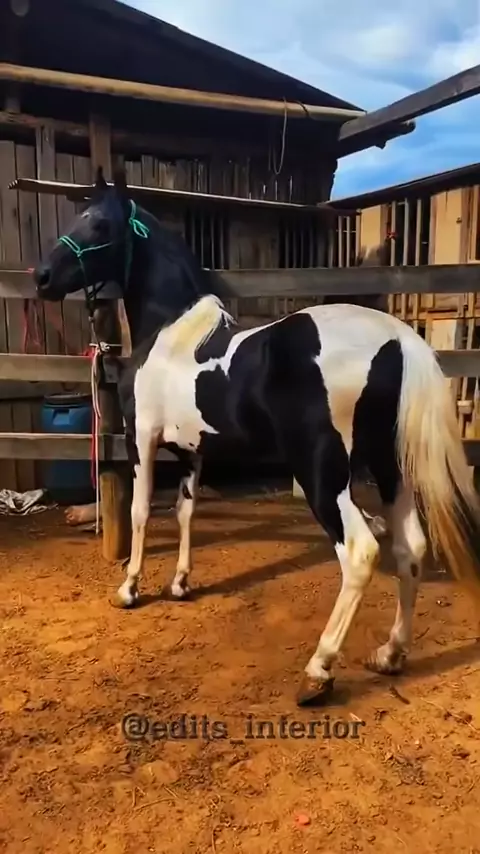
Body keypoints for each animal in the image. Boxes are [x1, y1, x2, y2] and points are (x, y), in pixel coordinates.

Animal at [34, 168, 480, 706]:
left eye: (98, 222)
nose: (42, 277)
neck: (169, 334)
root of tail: (398, 338)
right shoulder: (191, 451)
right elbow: (185, 511)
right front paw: (180, 584)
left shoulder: (143, 439)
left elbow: (142, 512)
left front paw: (129, 589)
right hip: (388, 467)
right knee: (411, 548)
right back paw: (390, 654)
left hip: (323, 475)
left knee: (360, 552)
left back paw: (318, 671)